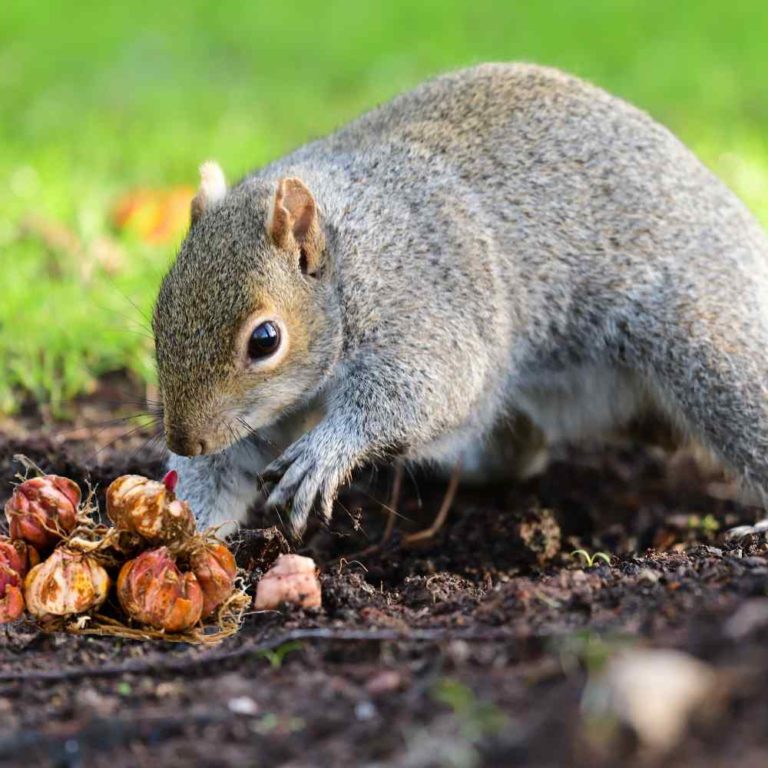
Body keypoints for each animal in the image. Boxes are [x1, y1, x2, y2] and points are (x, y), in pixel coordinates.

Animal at [153, 62, 768, 537]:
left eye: (266, 339)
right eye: (158, 314)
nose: (186, 438)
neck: (350, 265)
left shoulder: (424, 301)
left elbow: (426, 386)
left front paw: (326, 452)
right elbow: (227, 467)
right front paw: (186, 527)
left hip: (706, 341)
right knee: (520, 449)